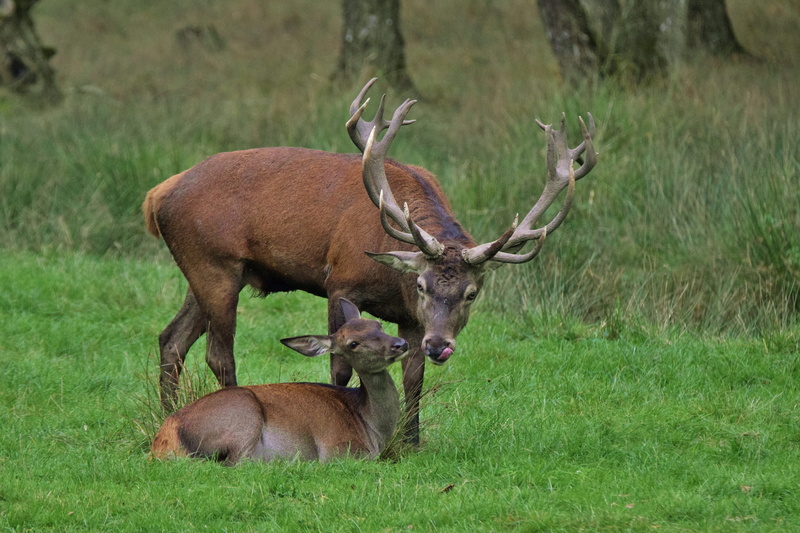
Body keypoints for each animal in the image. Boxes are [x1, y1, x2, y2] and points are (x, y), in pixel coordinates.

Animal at [142, 78, 597, 444]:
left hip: (209, 272)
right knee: (218, 353)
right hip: (214, 263)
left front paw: (411, 439)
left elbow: (414, 375)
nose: (441, 345)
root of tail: (157, 194)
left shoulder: (411, 319)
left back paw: (168, 413)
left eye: (471, 293)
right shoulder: (340, 282)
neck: (391, 278)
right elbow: (339, 364)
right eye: (422, 285)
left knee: (172, 338)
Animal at [151, 298, 409, 464]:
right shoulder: (340, 450)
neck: (371, 428)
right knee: (235, 463)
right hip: (243, 416)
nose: (400, 344)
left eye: (378, 324)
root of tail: (163, 441)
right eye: (353, 343)